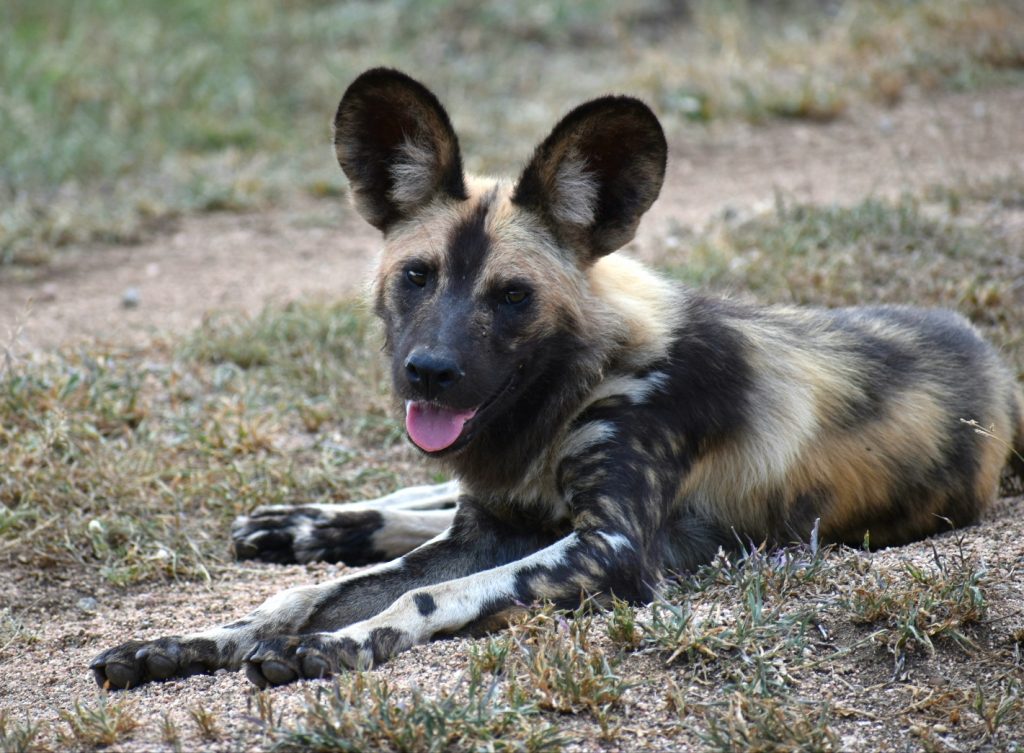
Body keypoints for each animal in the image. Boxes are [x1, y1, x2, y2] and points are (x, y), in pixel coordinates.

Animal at [90, 67, 1024, 692]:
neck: (558, 401)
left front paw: (342, 644)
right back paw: (298, 524)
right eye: (418, 277)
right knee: (414, 503)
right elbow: (315, 594)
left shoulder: (607, 548)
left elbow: (427, 596)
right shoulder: (485, 526)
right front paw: (189, 641)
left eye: (512, 296)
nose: (429, 372)